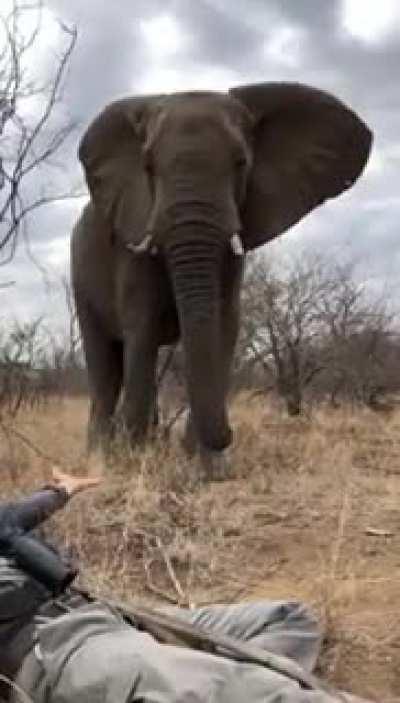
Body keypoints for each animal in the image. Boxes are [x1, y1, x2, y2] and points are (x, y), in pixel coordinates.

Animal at [71, 82, 372, 470]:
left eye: (241, 162)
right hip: (80, 279)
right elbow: (143, 326)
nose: (230, 433)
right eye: (148, 167)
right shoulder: (133, 233)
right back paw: (100, 457)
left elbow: (224, 325)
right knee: (105, 370)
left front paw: (205, 466)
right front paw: (134, 459)